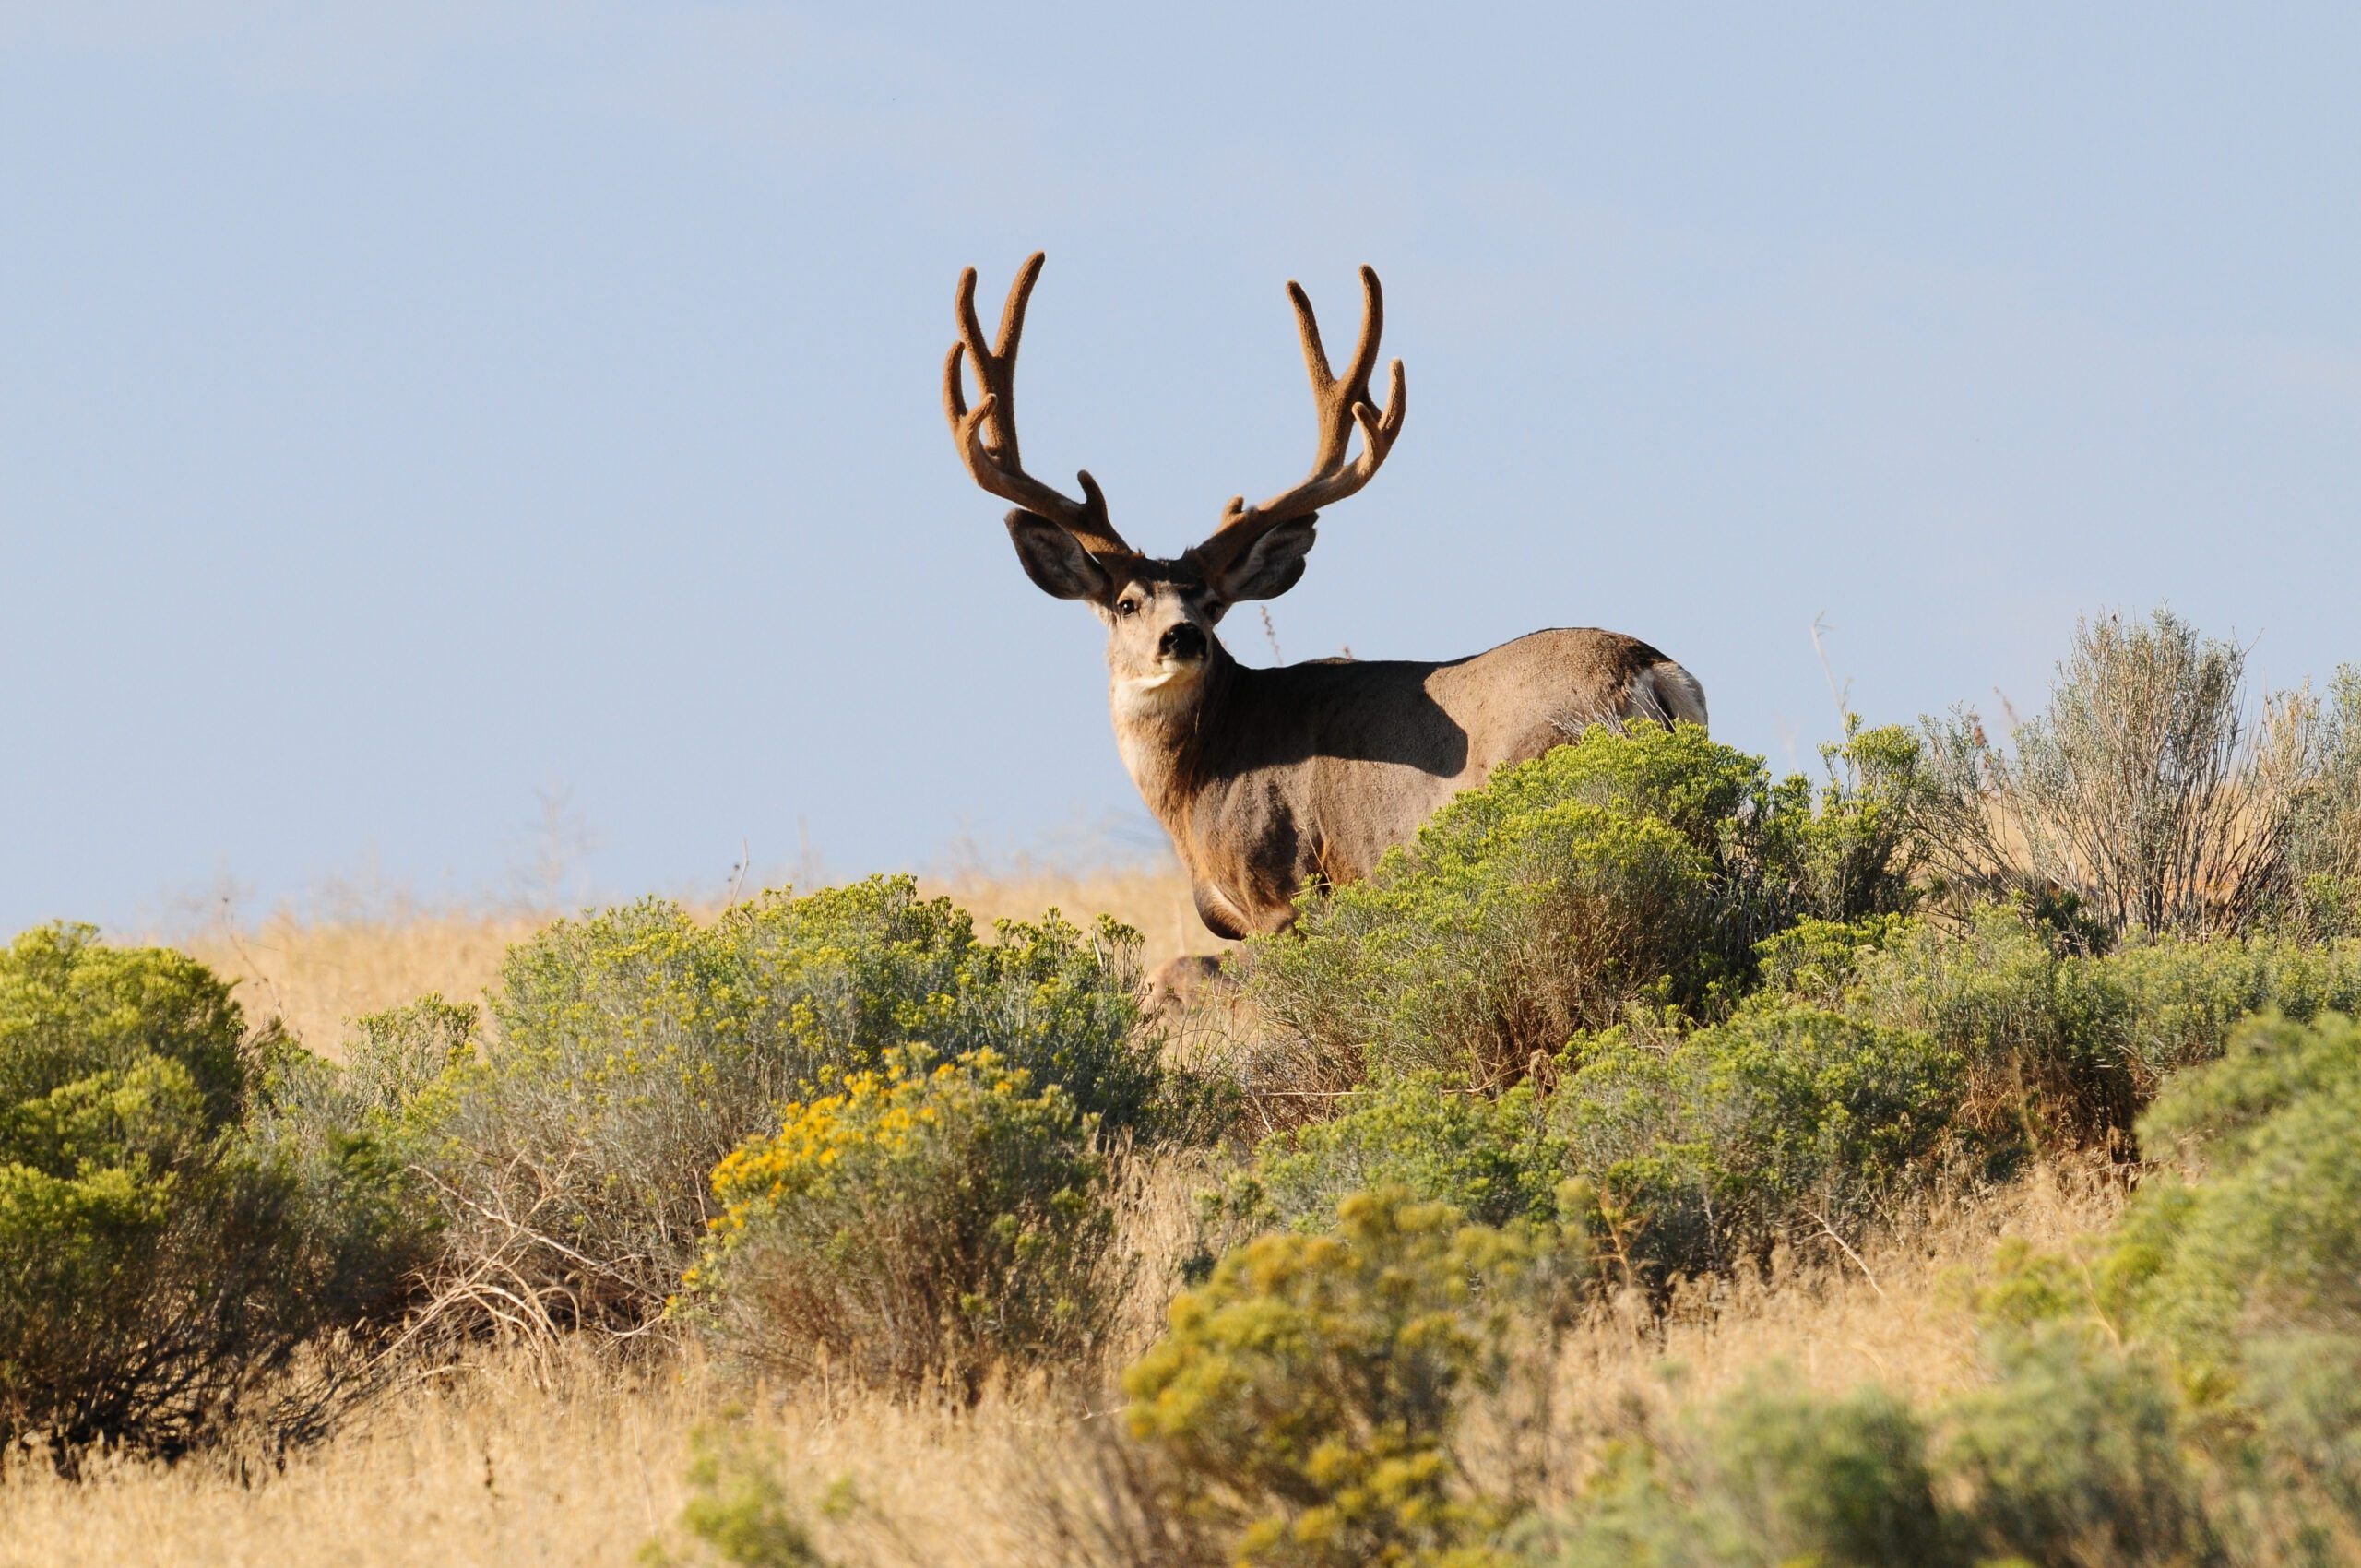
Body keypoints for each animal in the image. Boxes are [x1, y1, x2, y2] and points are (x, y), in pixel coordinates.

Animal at [945, 253, 1707, 940]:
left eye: (1211, 605)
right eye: (1127, 603)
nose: (1182, 636)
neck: (1203, 777)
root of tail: (1647, 671)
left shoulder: (1281, 895)